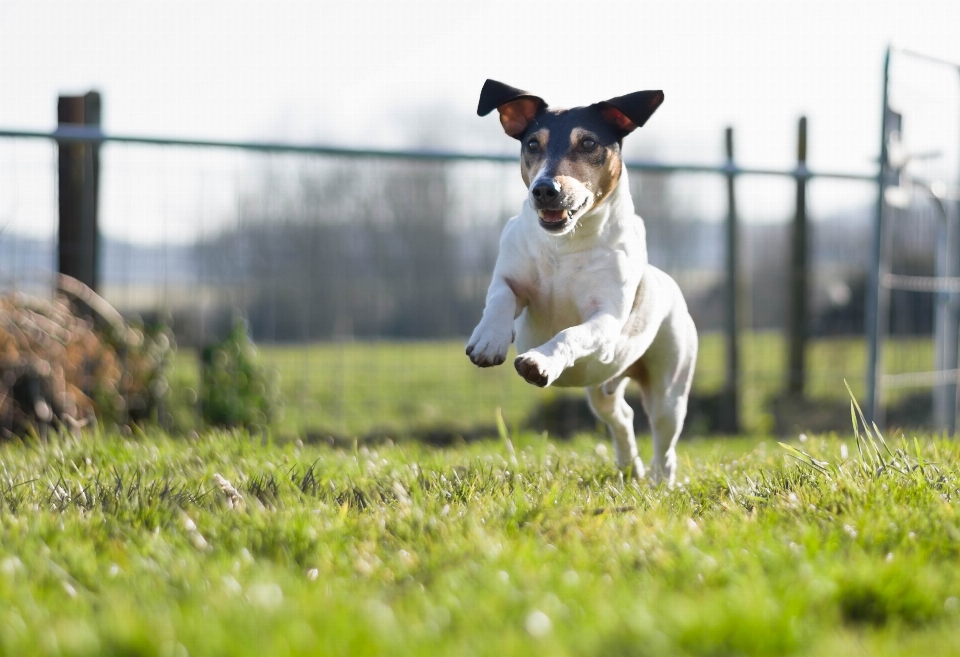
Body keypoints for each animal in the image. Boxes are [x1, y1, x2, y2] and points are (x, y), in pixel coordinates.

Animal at [466, 79, 696, 484]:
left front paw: (540, 361)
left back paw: (659, 482)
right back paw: (628, 466)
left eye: (588, 143)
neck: (566, 244)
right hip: (603, 389)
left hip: (669, 387)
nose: (545, 189)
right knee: (621, 415)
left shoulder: (604, 319)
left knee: (664, 439)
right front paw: (489, 340)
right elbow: (501, 297)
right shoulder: (510, 275)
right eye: (532, 144)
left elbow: (570, 334)